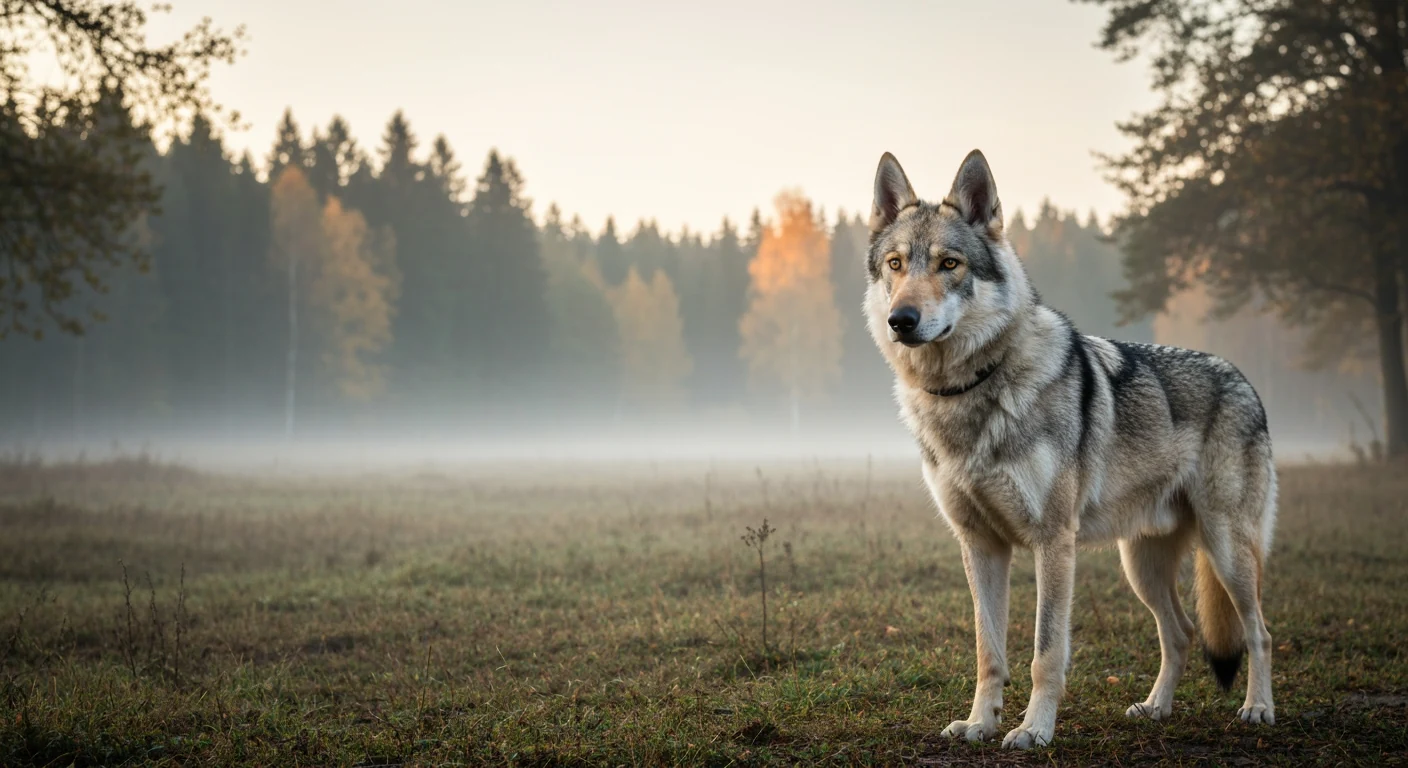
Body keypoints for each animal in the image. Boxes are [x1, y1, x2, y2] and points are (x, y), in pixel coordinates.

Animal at [863, 150, 1278, 749]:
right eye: (895, 265)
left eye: (949, 264)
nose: (902, 320)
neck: (971, 390)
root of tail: (1243, 379)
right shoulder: (980, 545)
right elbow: (989, 651)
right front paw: (979, 723)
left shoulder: (1053, 542)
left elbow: (1045, 653)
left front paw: (1033, 730)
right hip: (1141, 567)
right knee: (1180, 632)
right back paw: (1155, 709)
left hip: (1225, 550)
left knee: (1260, 631)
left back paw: (1258, 708)